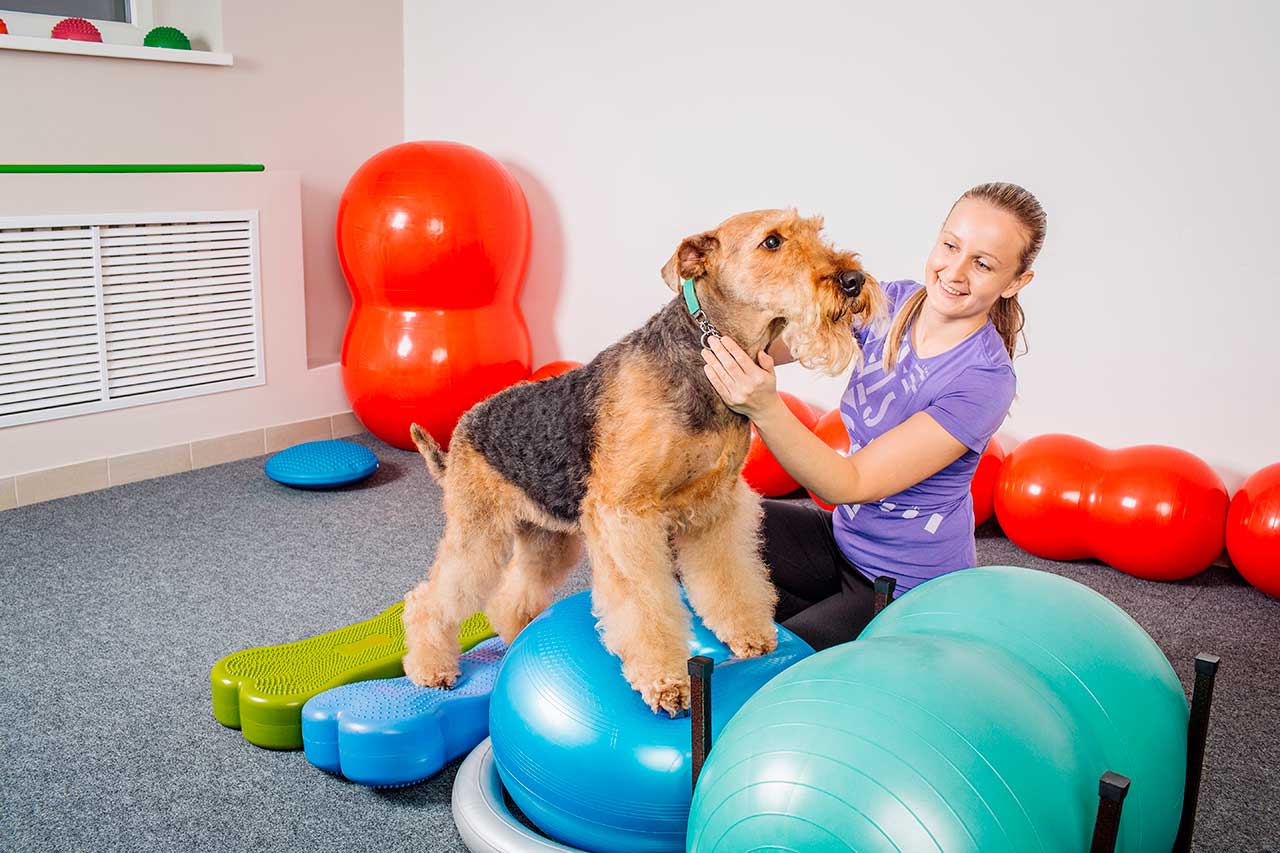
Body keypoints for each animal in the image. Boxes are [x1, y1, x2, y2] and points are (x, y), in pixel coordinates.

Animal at [399, 208, 880, 712]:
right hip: (478, 532)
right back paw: (431, 668)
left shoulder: (715, 508)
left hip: (548, 536)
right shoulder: (625, 515)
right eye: (772, 241)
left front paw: (750, 635)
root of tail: (462, 430)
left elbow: (729, 579)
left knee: (513, 594)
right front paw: (665, 682)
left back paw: (513, 633)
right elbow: (645, 602)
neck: (701, 354)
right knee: (432, 598)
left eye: (816, 232)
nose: (853, 280)